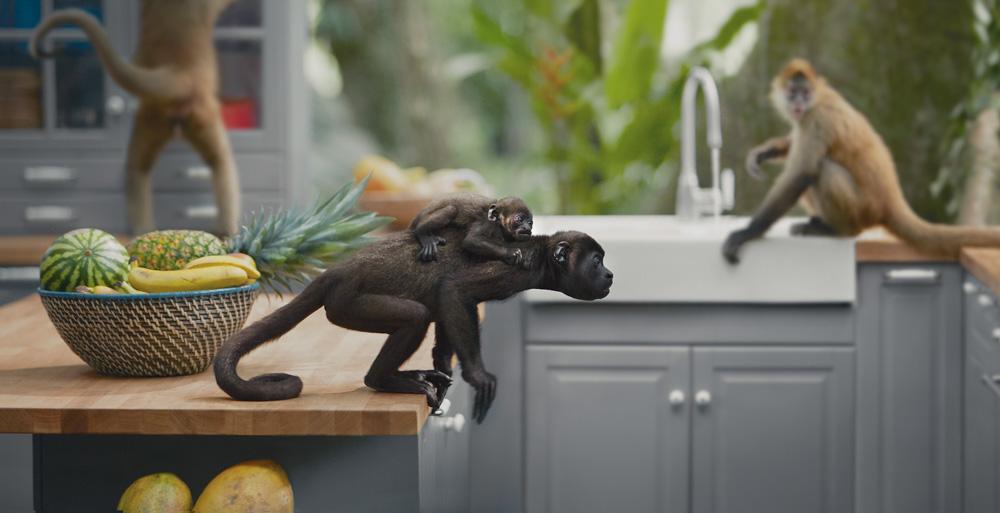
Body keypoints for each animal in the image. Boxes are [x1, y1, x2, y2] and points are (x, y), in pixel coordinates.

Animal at [30, 1, 242, 236]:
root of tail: (180, 70)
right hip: (198, 113)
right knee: (221, 163)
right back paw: (226, 230)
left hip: (155, 118)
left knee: (136, 169)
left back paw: (143, 229)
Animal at [214, 228, 613, 423]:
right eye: (596, 261)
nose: (610, 273)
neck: (540, 255)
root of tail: (338, 270)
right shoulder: (512, 269)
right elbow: (454, 291)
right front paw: (478, 375)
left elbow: (447, 311)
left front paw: (444, 368)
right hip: (348, 304)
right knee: (415, 315)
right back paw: (383, 380)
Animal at [722, 58, 1000, 263]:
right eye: (793, 93)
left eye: (805, 93)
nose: (799, 102)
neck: (819, 98)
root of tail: (889, 199)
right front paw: (765, 151)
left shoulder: (817, 117)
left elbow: (802, 172)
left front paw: (746, 233)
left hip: (861, 209)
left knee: (823, 170)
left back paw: (836, 230)